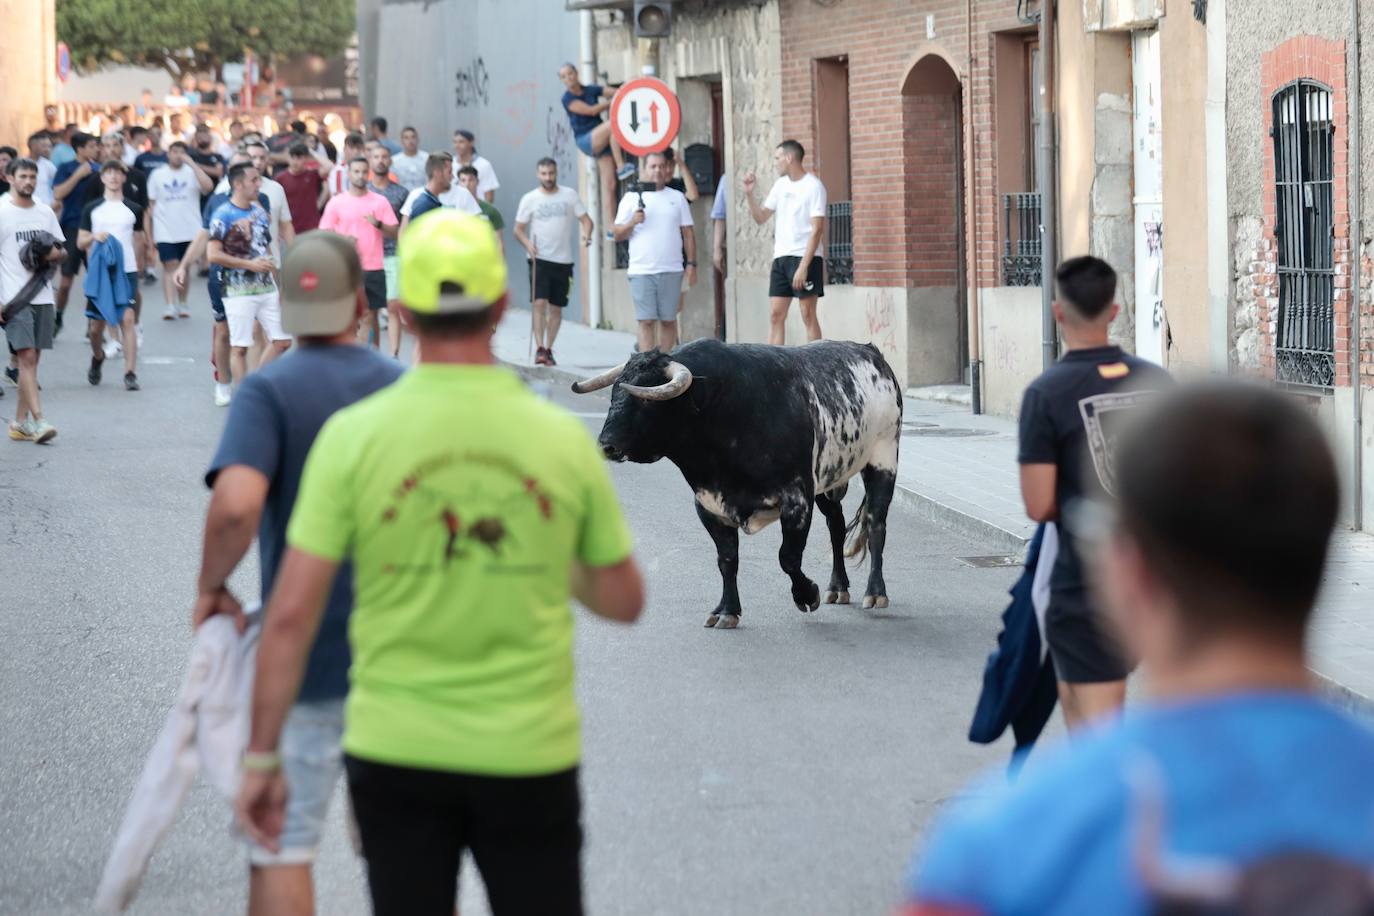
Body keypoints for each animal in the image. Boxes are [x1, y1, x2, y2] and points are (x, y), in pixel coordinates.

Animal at [568, 336, 901, 631]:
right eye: (614, 394)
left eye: (646, 403)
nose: (606, 446)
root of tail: (873, 354)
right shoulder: (709, 504)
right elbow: (727, 559)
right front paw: (727, 611)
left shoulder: (796, 499)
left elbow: (788, 558)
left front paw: (807, 595)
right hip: (830, 480)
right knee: (836, 525)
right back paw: (838, 586)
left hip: (883, 458)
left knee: (876, 523)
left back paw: (875, 592)